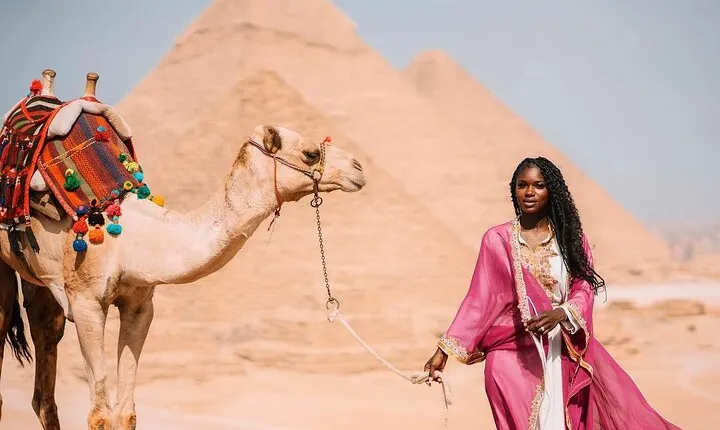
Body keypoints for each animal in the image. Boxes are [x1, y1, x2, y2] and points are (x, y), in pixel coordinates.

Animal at [0, 71, 366, 430]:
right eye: (310, 153)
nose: (359, 168)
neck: (129, 235)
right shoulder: (86, 302)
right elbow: (100, 415)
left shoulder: (139, 304)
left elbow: (126, 413)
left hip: (41, 282)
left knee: (44, 381)